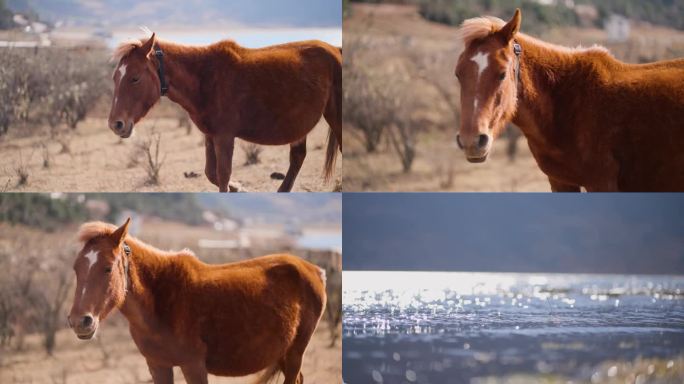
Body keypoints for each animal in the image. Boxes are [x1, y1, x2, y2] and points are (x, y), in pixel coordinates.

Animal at [66, 219, 326, 384]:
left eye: (108, 268)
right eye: (76, 268)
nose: (80, 321)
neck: (161, 302)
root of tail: (314, 270)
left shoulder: (194, 366)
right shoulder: (158, 365)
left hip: (295, 353)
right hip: (282, 353)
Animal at [109, 32, 342, 192]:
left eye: (135, 78)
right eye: (115, 77)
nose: (116, 124)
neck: (205, 78)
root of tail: (336, 50)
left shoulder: (224, 137)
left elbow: (222, 175)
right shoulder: (210, 135)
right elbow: (211, 174)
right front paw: (239, 187)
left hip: (335, 119)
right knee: (297, 158)